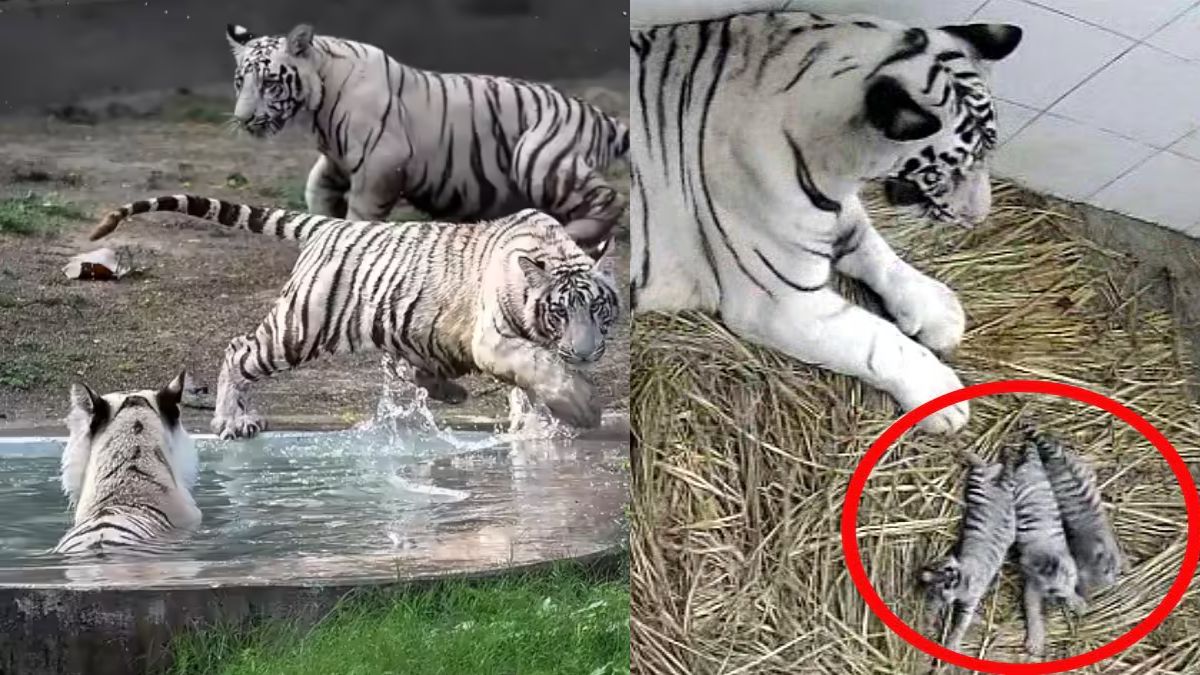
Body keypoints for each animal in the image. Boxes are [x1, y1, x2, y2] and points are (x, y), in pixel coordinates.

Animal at [89, 196, 619, 439]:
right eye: (560, 311)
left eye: (597, 308)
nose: (587, 351)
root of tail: (330, 224)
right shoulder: (496, 339)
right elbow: (540, 368)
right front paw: (581, 408)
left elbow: (528, 384)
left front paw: (535, 426)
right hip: (301, 328)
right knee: (239, 350)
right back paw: (231, 420)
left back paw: (447, 389)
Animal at [224, 22, 629, 258]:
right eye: (240, 81)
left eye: (270, 83)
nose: (243, 120)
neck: (318, 102)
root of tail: (597, 113)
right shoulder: (336, 162)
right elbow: (316, 192)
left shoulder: (380, 164)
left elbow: (360, 215)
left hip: (539, 158)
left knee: (611, 200)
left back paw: (571, 233)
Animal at [629, 10, 1022, 434]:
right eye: (947, 169)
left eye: (987, 152)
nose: (977, 217)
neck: (836, 166)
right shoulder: (781, 301)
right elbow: (879, 341)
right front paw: (940, 393)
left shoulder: (838, 215)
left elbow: (879, 254)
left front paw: (938, 309)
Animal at [920, 452, 1015, 653]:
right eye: (942, 568)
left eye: (946, 584)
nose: (923, 575)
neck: (964, 577)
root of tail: (1001, 494)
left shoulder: (970, 599)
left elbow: (962, 621)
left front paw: (953, 640)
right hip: (981, 489)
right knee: (987, 470)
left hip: (980, 490)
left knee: (987, 470)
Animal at [1010, 437, 1087, 656]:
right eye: (1051, 589)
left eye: (1070, 580)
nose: (1059, 597)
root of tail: (1033, 466)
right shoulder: (1032, 587)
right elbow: (1033, 612)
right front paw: (1035, 643)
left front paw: (1078, 603)